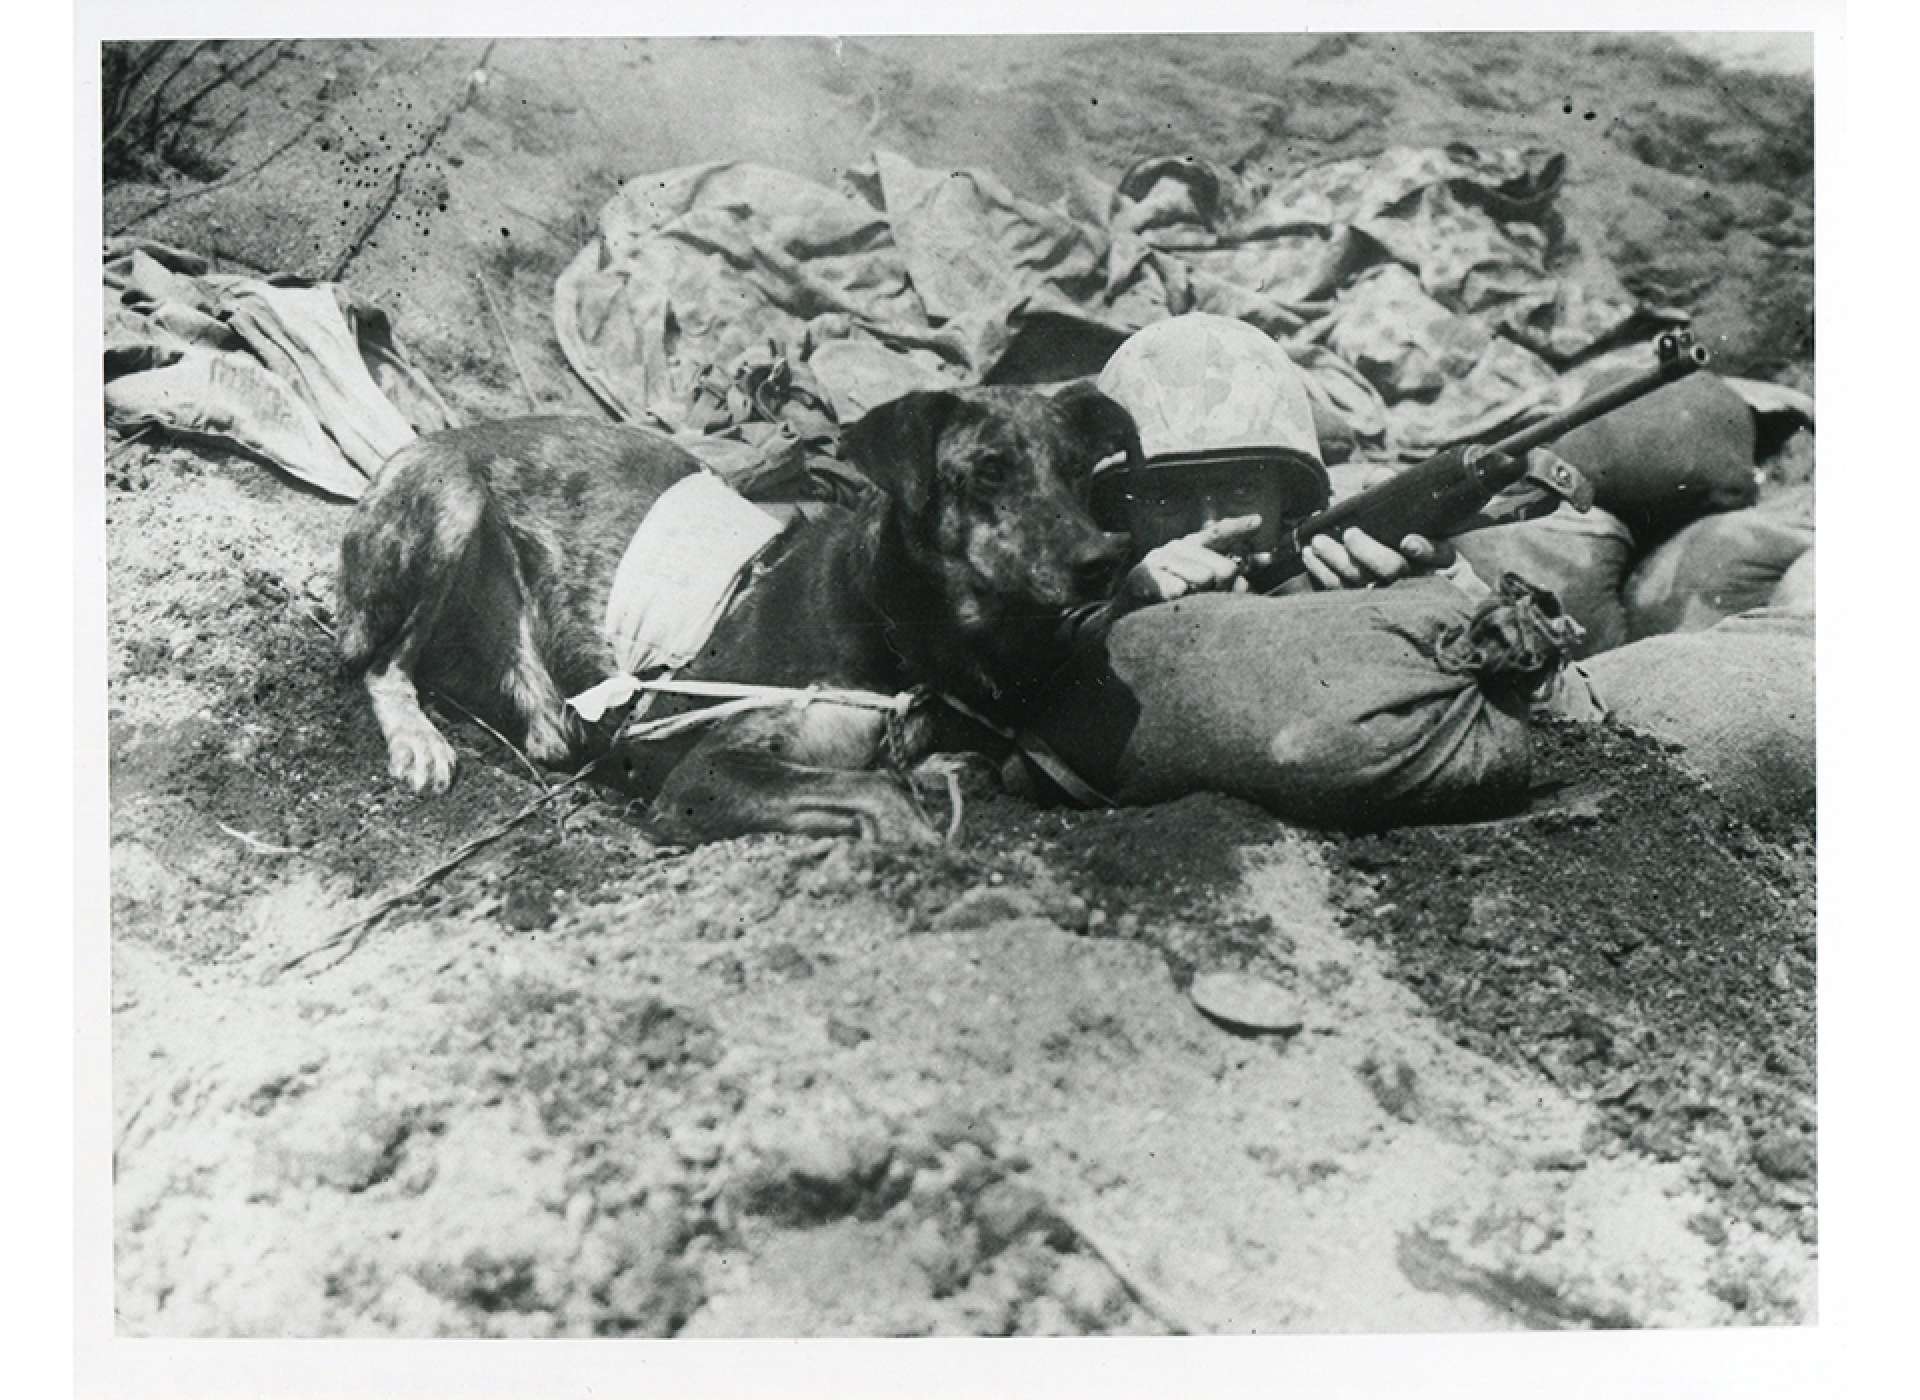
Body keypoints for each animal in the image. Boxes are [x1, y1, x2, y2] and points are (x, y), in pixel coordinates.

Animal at [339, 382, 1136, 841]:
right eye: (990, 471)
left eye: (1078, 470)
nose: (1107, 558)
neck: (893, 626)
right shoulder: (704, 772)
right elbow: (876, 787)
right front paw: (913, 838)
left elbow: (933, 767)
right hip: (452, 501)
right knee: (382, 664)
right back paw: (416, 739)